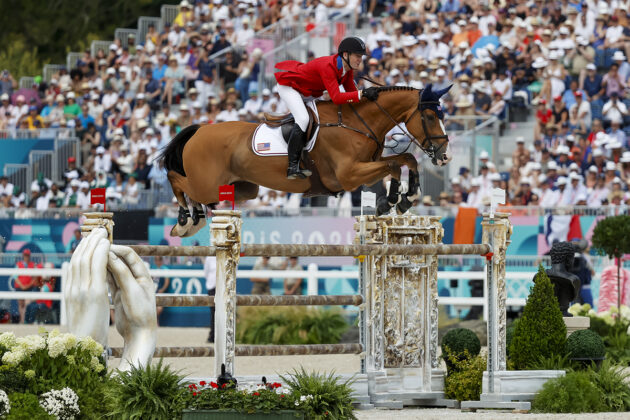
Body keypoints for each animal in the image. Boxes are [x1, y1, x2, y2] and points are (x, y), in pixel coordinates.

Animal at [158, 83, 454, 238]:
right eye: (430, 117)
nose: (444, 156)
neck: (357, 122)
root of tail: (200, 130)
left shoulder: (369, 162)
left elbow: (406, 158)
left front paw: (406, 198)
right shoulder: (348, 175)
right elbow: (393, 164)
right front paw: (390, 200)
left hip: (242, 187)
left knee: (197, 192)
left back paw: (194, 217)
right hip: (207, 182)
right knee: (176, 179)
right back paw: (185, 220)